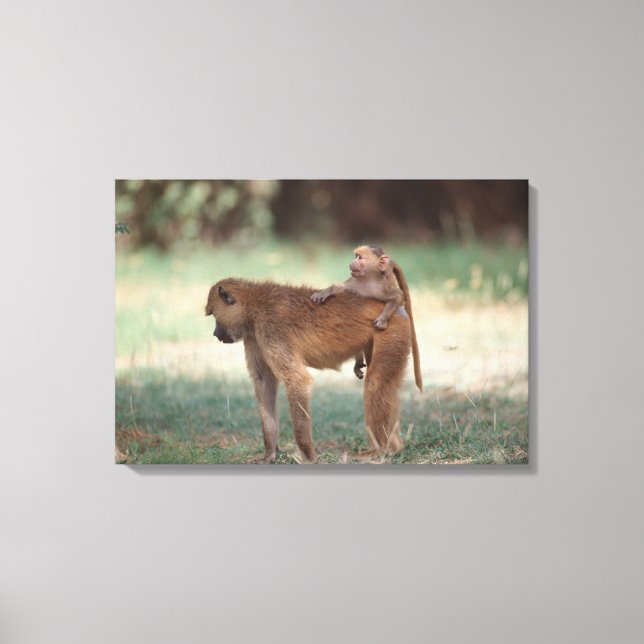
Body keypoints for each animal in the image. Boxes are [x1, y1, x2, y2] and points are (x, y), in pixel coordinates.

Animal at [205, 278, 410, 463]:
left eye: (214, 315)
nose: (215, 334)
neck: (253, 306)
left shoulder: (270, 329)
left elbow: (296, 379)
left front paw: (309, 455)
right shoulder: (253, 336)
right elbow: (263, 381)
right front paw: (270, 453)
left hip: (390, 330)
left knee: (375, 384)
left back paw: (380, 451)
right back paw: (395, 447)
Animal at [311, 245, 423, 393]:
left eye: (360, 258)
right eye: (356, 256)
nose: (351, 264)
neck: (369, 280)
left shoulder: (382, 287)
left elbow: (398, 297)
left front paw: (383, 319)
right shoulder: (355, 283)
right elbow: (339, 287)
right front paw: (323, 293)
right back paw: (358, 362)